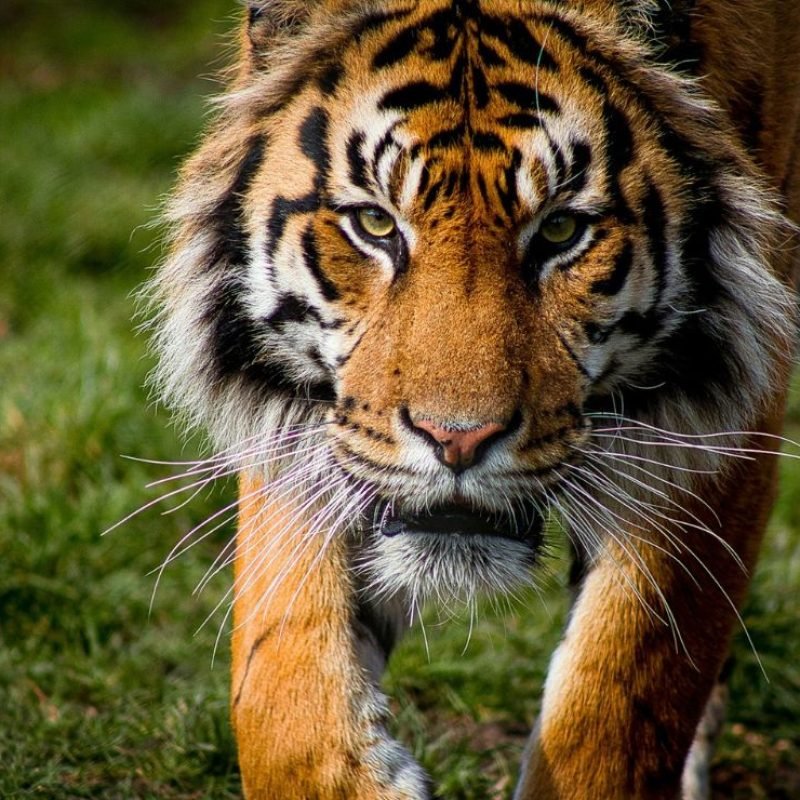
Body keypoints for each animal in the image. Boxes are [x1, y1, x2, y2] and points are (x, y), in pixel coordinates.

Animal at [147, 0, 800, 797]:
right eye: (374, 224)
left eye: (560, 229)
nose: (456, 439)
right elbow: (280, 700)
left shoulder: (721, 419)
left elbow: (619, 698)